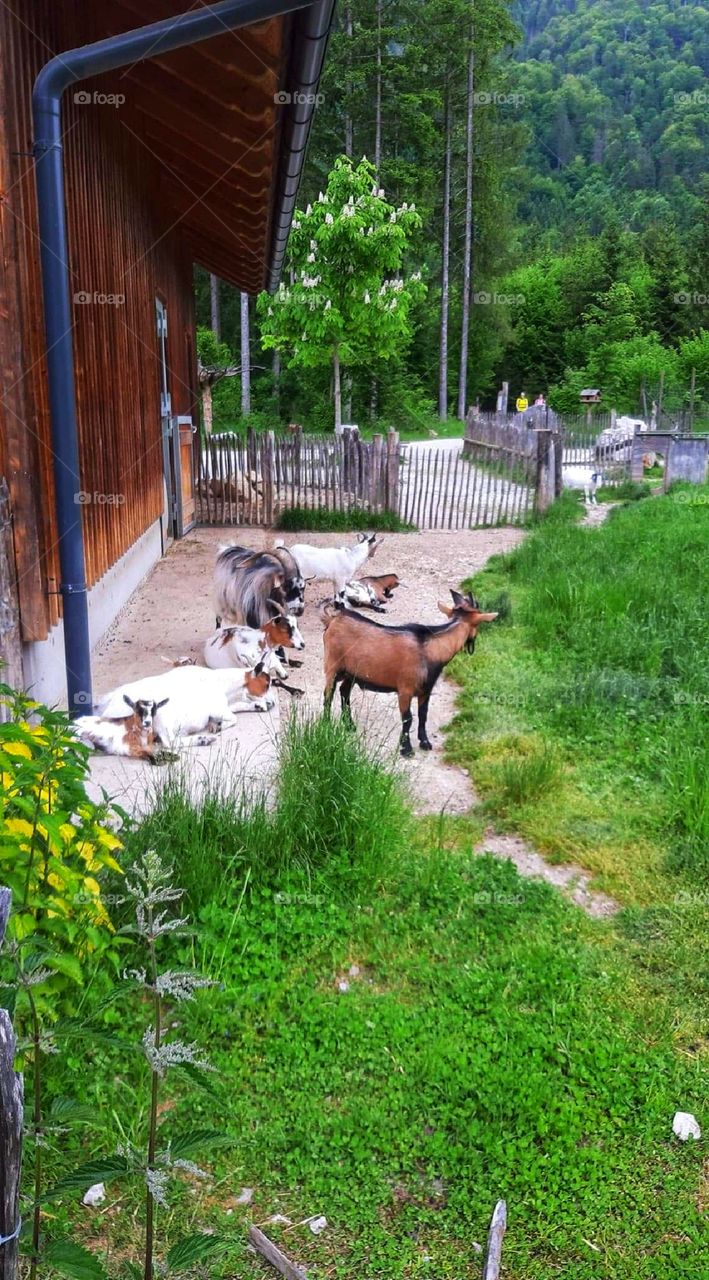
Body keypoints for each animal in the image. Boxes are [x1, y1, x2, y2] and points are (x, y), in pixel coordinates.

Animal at [98, 662, 275, 750]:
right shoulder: (218, 708)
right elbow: (233, 718)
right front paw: (217, 726)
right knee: (169, 742)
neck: (222, 683)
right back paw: (203, 739)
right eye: (267, 684)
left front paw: (258, 706)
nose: (272, 703)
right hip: (159, 715)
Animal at [321, 590, 498, 756]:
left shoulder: (426, 690)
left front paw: (425, 742)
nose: (471, 647)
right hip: (332, 665)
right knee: (328, 695)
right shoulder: (405, 689)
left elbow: (423, 715)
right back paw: (326, 724)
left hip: (351, 673)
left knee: (344, 692)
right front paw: (406, 748)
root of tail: (333, 620)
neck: (428, 650)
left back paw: (349, 725)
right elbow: (408, 718)